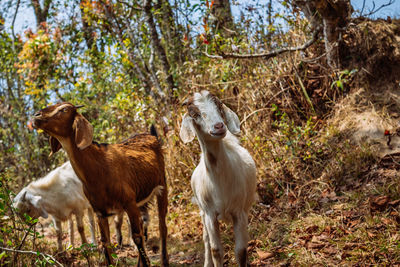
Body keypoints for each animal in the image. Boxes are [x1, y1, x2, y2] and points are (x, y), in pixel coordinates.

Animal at [31, 103, 169, 267]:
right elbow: (105, 243)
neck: (99, 169)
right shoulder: (100, 212)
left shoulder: (129, 203)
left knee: (161, 226)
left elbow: (136, 236)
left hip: (162, 186)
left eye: (64, 109)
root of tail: (152, 135)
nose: (36, 115)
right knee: (143, 225)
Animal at [180, 91, 258, 266]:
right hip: (202, 212)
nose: (219, 126)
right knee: (206, 240)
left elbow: (241, 251)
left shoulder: (239, 212)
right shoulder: (210, 214)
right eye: (194, 114)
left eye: (219, 106)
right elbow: (216, 250)